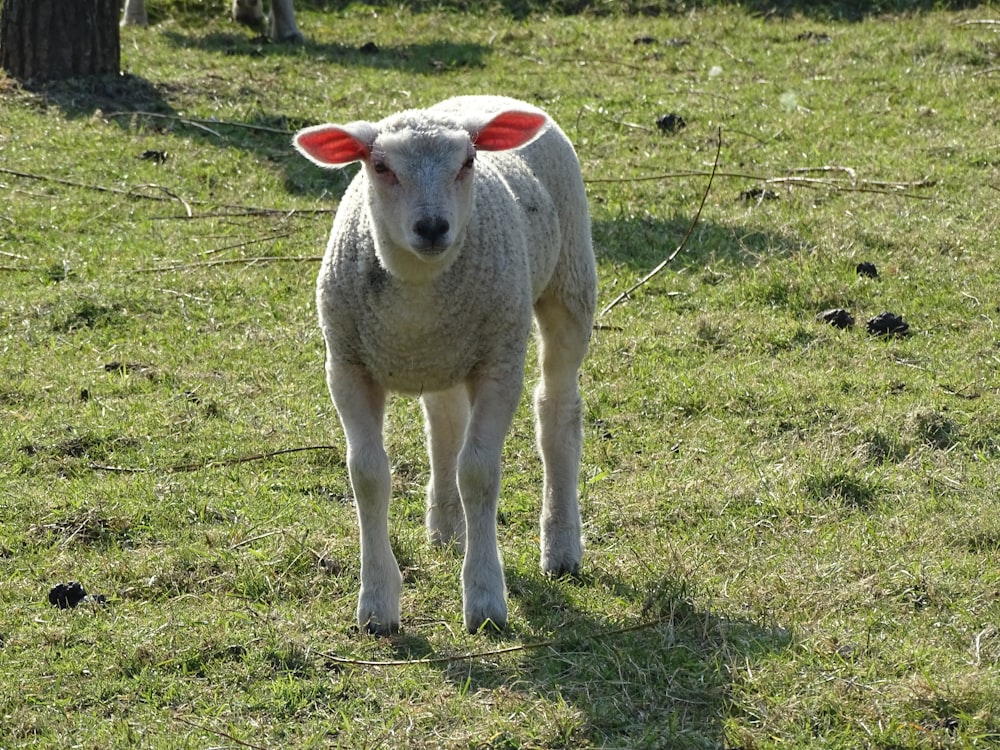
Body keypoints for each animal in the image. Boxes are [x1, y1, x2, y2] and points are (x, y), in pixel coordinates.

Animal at [292, 94, 596, 636]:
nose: (432, 227)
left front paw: (485, 598)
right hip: (447, 352)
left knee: (556, 411)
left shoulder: (499, 364)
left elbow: (478, 473)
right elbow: (368, 474)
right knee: (444, 422)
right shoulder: (346, 367)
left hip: (570, 283)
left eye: (468, 162)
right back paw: (447, 528)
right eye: (380, 166)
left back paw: (560, 546)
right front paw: (377, 604)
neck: (417, 292)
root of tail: (487, 97)